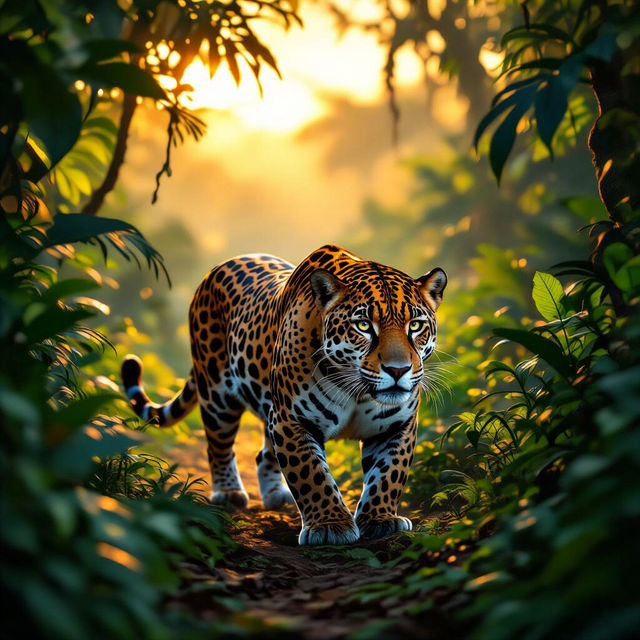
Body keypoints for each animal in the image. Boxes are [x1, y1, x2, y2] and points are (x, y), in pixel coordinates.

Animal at [121, 244, 447, 545]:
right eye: (364, 325)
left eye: (415, 325)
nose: (398, 369)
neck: (358, 391)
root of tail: (216, 268)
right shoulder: (292, 419)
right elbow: (311, 474)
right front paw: (330, 525)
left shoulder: (397, 426)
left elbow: (389, 474)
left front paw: (381, 519)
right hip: (217, 394)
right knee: (219, 446)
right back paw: (228, 493)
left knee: (264, 454)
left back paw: (276, 494)